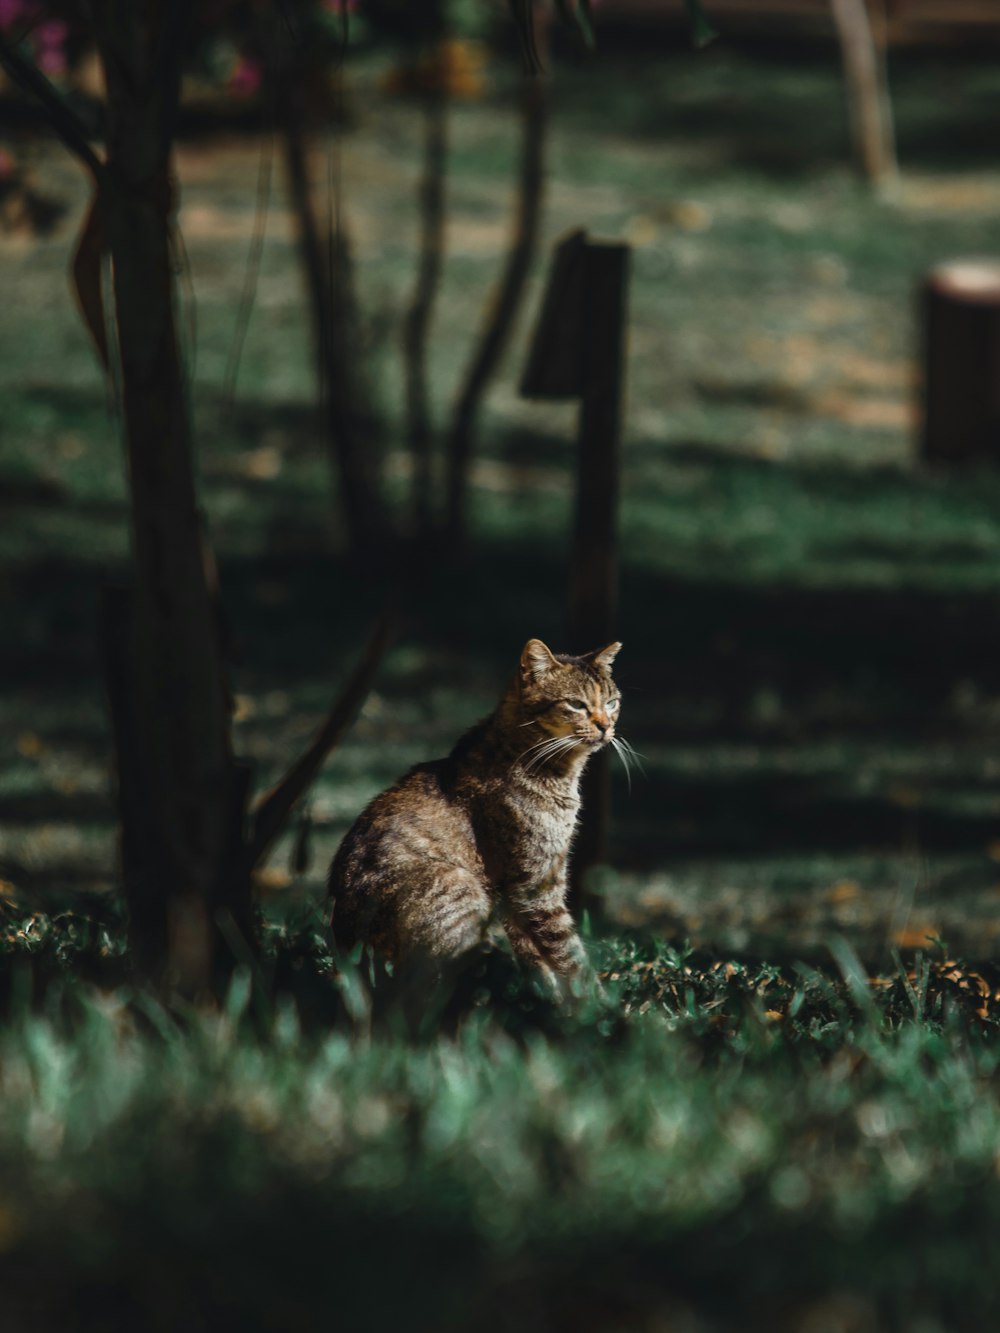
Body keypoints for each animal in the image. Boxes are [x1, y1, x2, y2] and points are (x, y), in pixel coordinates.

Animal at [329, 639, 626, 997]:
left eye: (611, 702)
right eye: (576, 704)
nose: (605, 726)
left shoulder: (520, 891)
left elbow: (534, 954)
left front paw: (554, 998)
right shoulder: (535, 886)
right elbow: (569, 954)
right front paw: (599, 1005)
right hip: (459, 887)